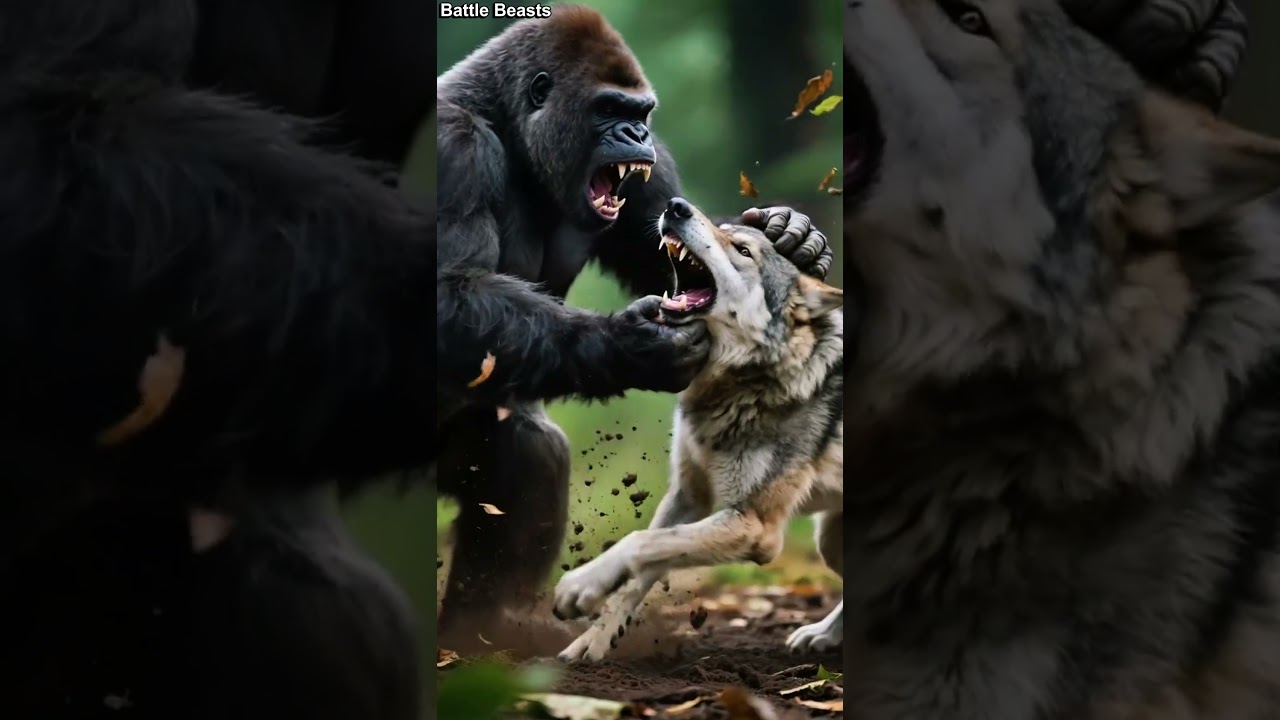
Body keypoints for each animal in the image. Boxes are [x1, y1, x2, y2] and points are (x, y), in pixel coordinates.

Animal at [550, 196, 844, 662]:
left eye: (742, 250)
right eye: (724, 229)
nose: (676, 206)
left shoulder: (754, 525)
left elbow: (638, 542)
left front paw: (580, 585)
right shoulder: (687, 497)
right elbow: (643, 568)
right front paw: (590, 643)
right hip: (830, 541)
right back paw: (822, 635)